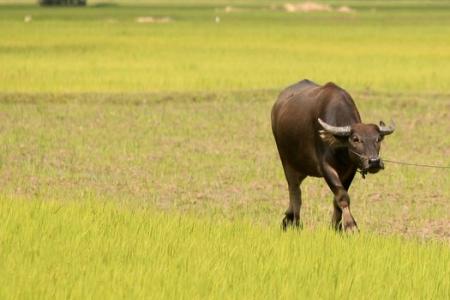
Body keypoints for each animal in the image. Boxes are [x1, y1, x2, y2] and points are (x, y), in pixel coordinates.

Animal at [270, 79, 394, 232]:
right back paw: (294, 221)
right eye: (355, 139)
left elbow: (337, 199)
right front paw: (350, 226)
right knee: (295, 191)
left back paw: (288, 218)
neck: (339, 147)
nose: (374, 162)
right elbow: (342, 196)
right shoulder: (326, 167)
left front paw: (336, 226)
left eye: (378, 139)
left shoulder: (350, 170)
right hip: (287, 162)